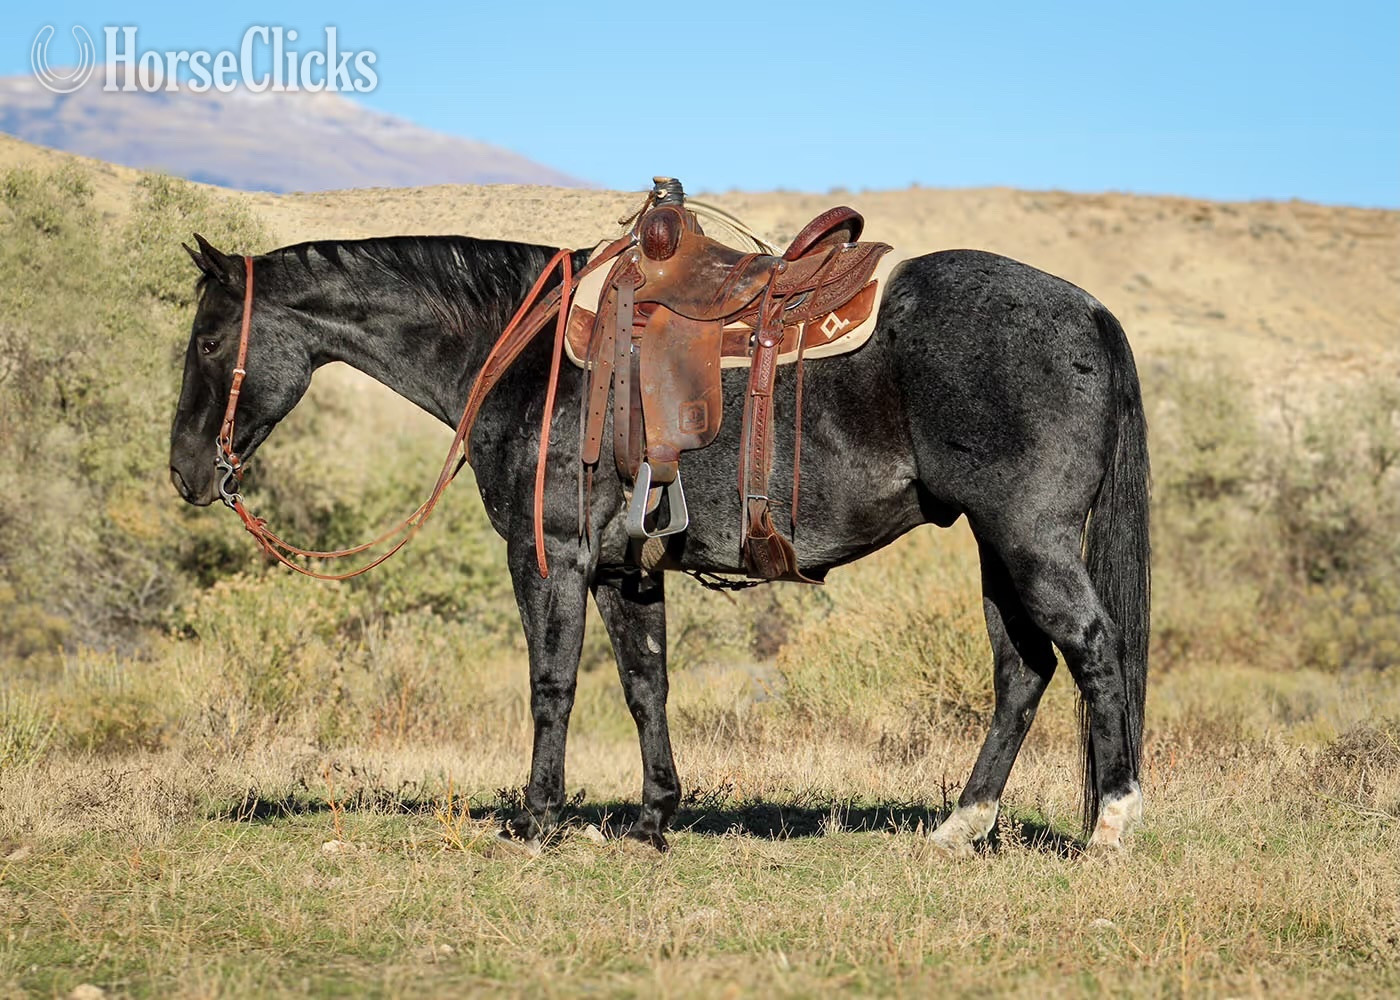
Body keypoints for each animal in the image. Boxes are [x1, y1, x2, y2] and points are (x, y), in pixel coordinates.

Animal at [169, 225, 1150, 854]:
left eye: (209, 340)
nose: (186, 471)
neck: (528, 355)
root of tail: (1089, 311)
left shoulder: (551, 555)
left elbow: (553, 686)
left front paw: (538, 821)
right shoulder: (622, 570)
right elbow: (647, 686)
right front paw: (653, 818)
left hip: (1030, 540)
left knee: (1093, 651)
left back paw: (1112, 824)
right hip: (998, 548)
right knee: (1022, 669)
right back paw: (959, 826)